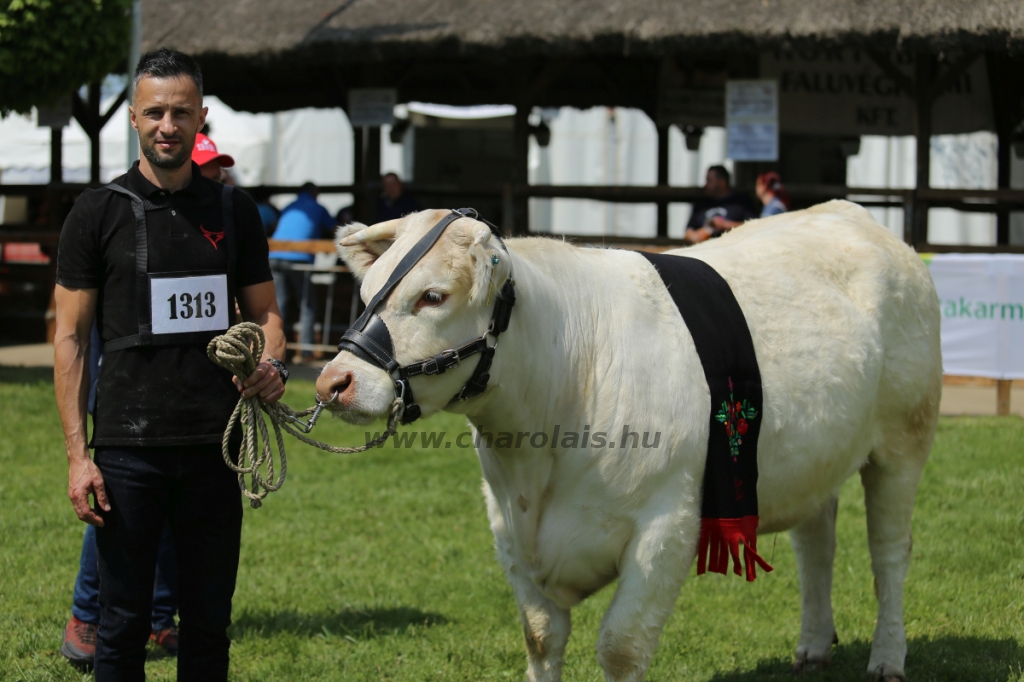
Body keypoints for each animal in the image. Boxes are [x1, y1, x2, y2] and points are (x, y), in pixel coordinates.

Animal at [315, 200, 937, 679]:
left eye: (433, 296)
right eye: (367, 292)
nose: (334, 382)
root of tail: (850, 213)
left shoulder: (667, 526)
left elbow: (621, 647)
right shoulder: (507, 526)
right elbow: (540, 637)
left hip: (903, 439)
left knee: (889, 552)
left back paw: (887, 657)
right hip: (818, 454)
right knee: (817, 544)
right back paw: (812, 647)